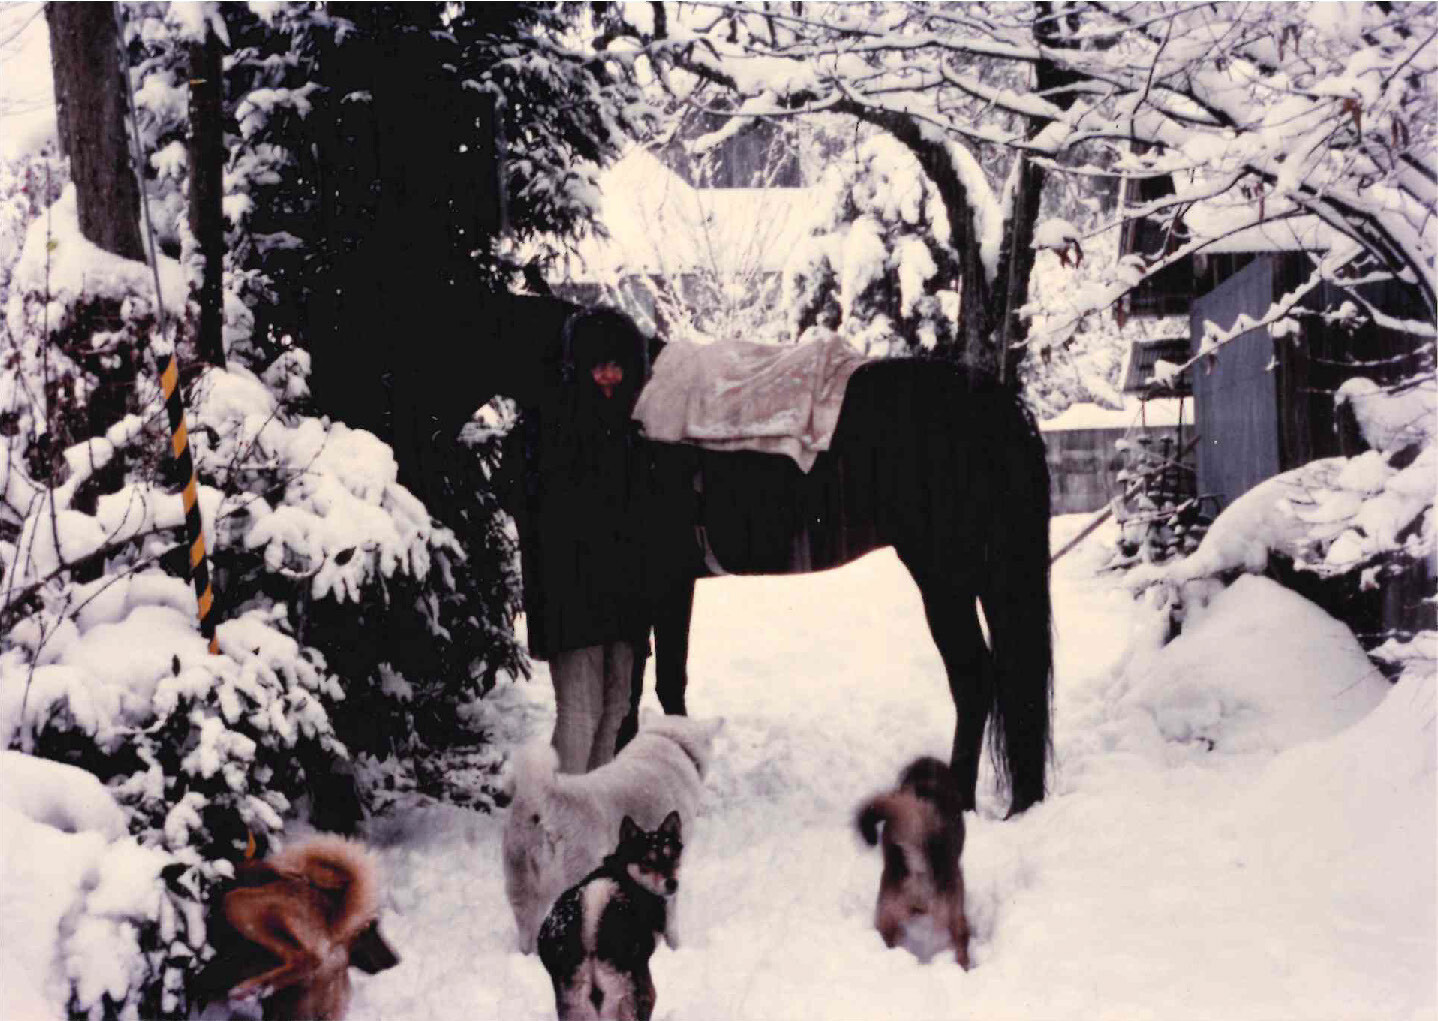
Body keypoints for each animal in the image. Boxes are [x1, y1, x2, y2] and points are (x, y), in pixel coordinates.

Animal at [457, 293, 1053, 817]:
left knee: (973, 677)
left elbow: (662, 685)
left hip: (943, 573)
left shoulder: (664, 584)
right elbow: (640, 688)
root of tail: (988, 402)